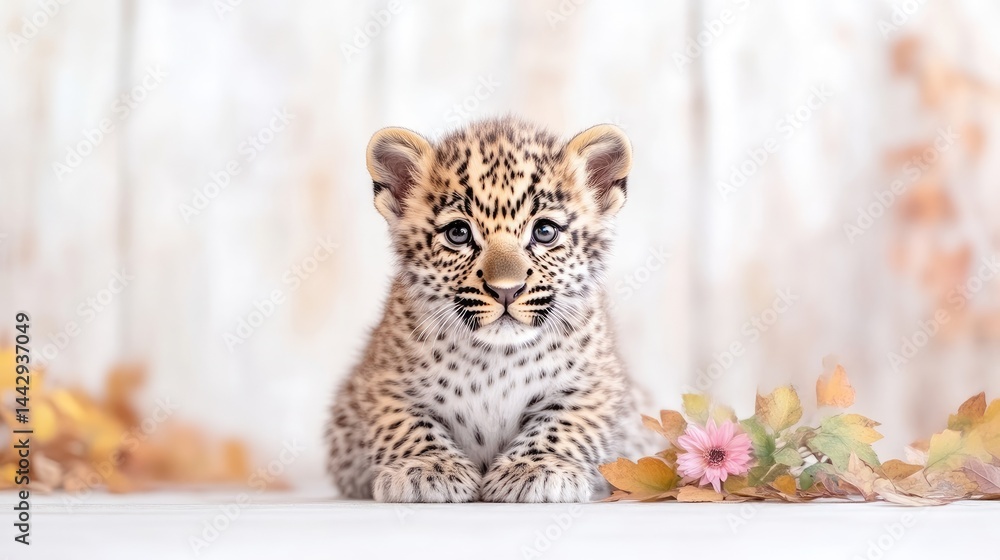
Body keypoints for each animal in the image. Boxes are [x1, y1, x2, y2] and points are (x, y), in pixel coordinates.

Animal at [326, 116, 653, 502]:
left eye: (545, 231)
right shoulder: (380, 384)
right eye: (458, 233)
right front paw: (428, 468)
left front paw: (535, 468)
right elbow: (405, 425)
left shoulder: (597, 384)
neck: (497, 359)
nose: (506, 290)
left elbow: (565, 424)